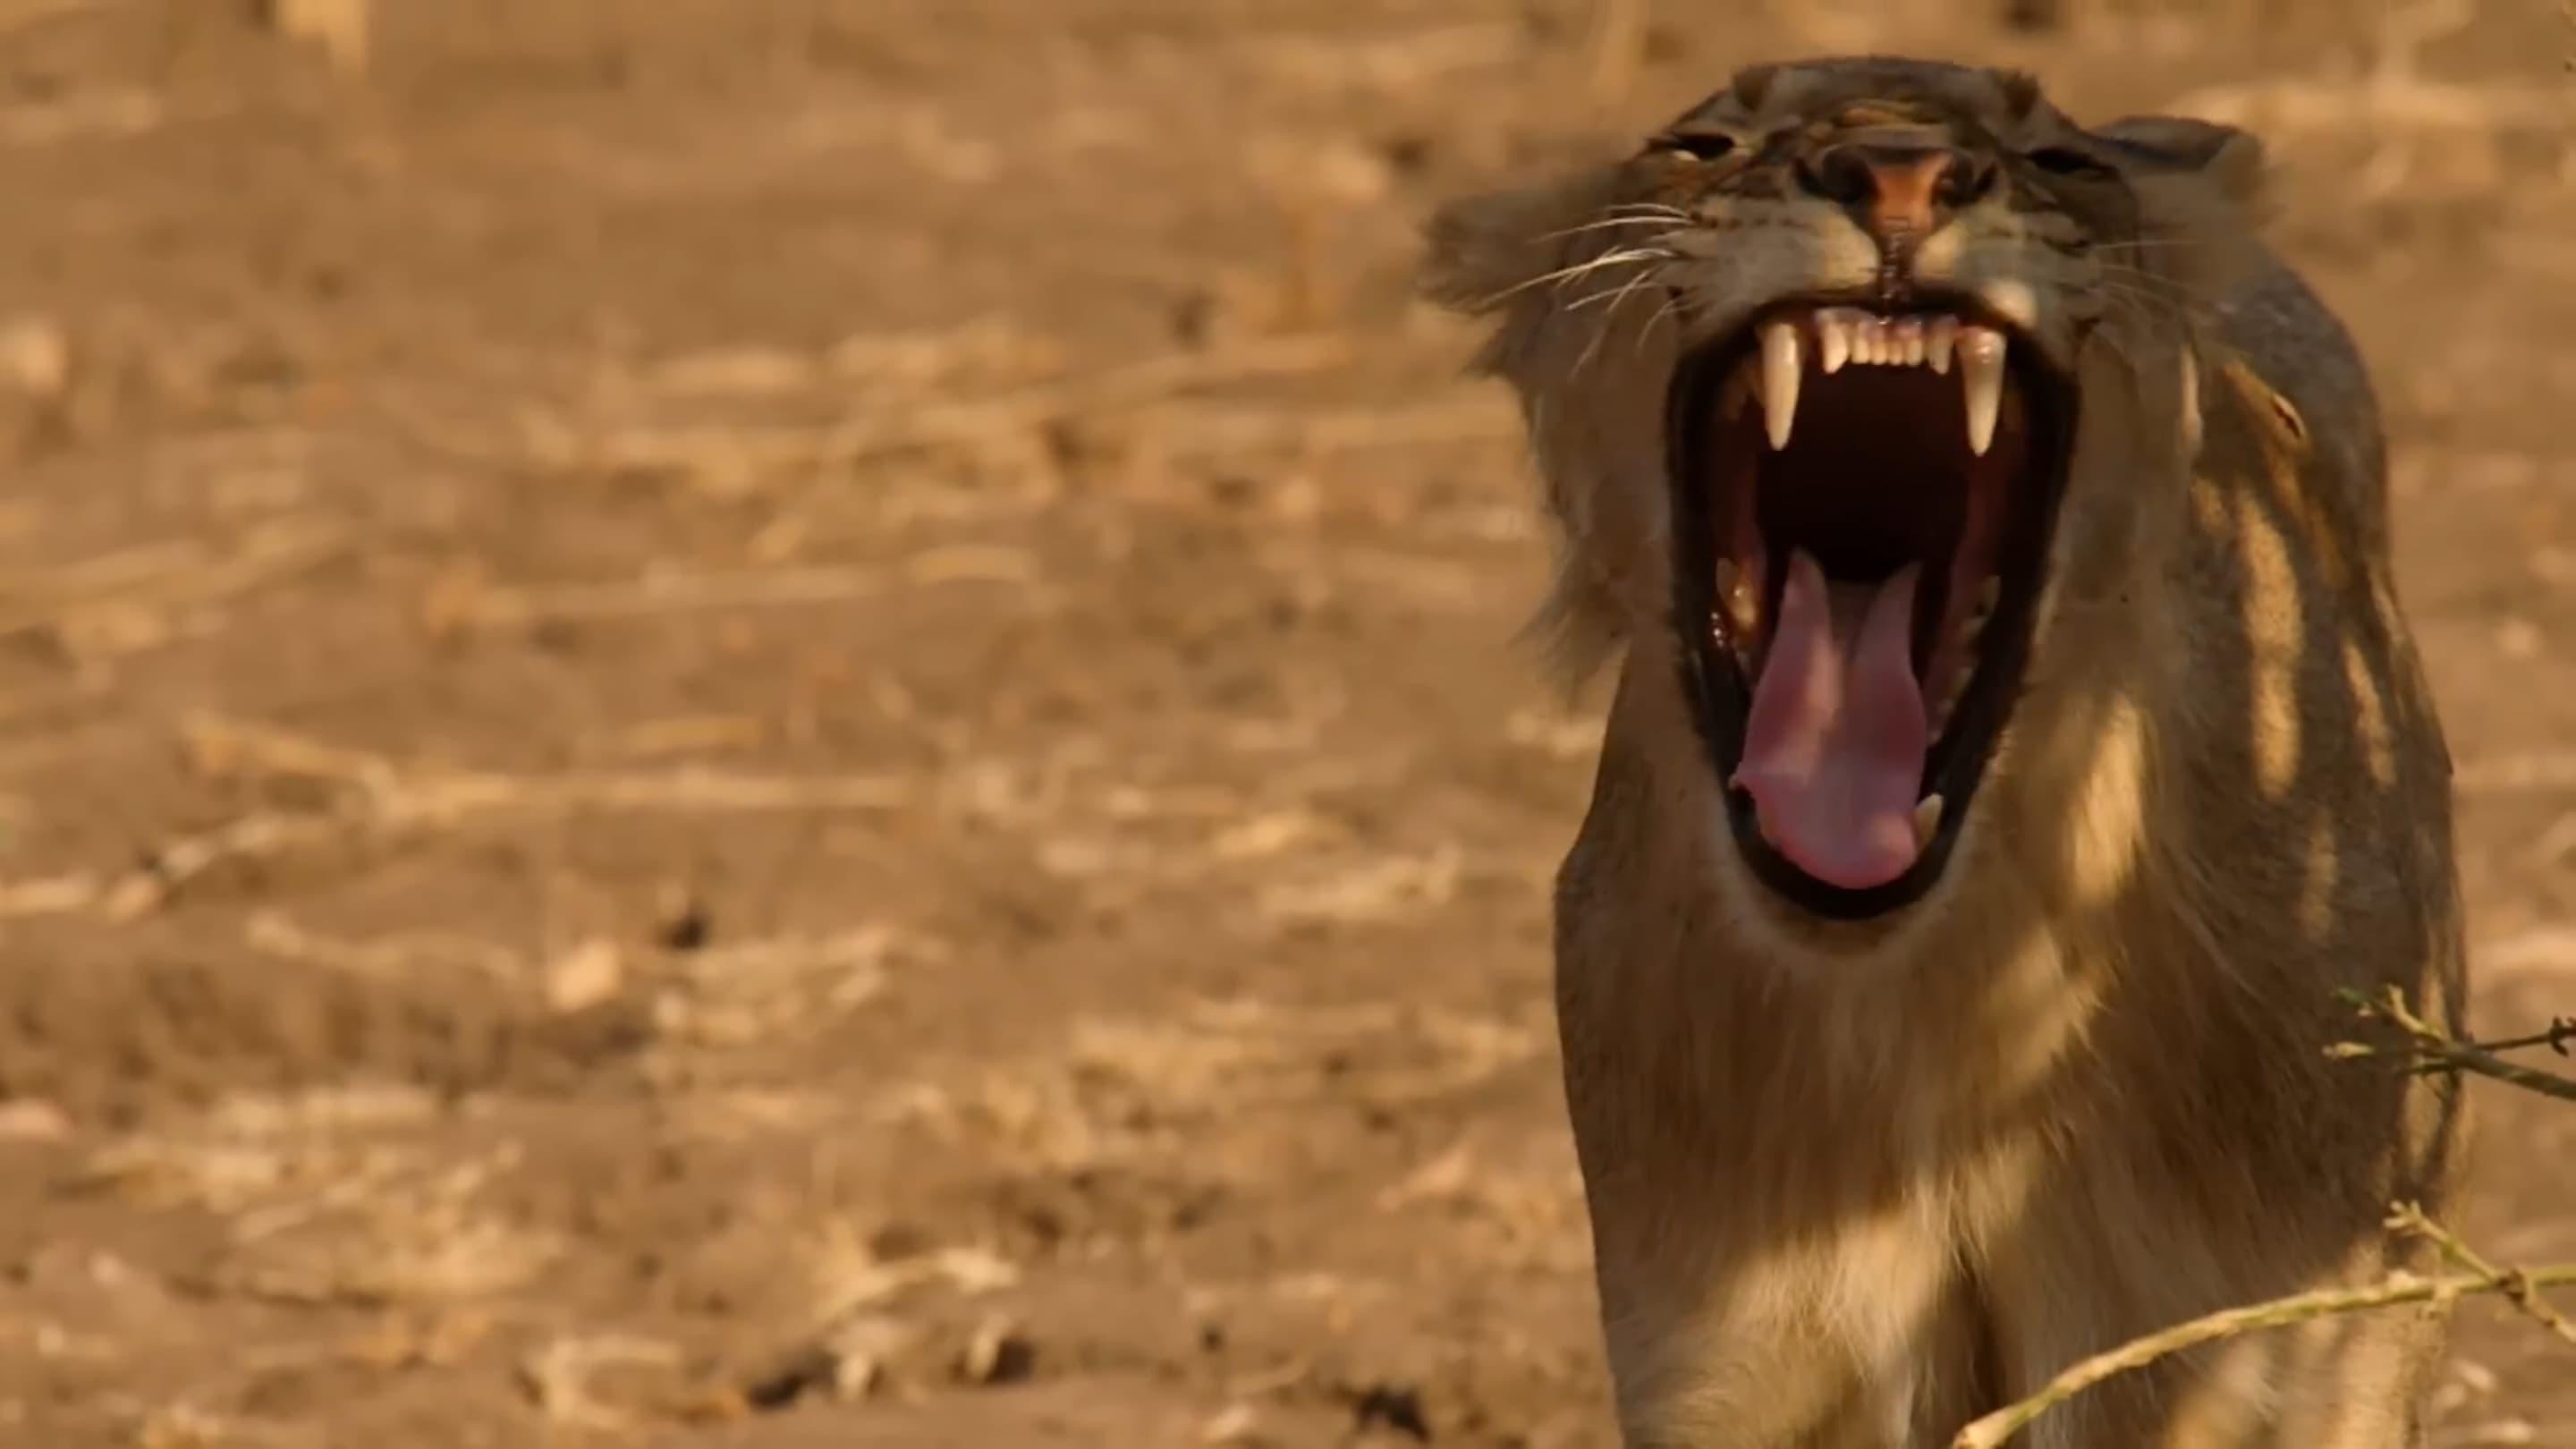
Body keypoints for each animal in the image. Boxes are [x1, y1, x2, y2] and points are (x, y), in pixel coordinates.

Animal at [1421, 59, 2462, 1444]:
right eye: (1704, 144)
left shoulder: (2288, 1353)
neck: (1957, 1005)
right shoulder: (1727, 1368)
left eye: (2063, 162)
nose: (1899, 175)